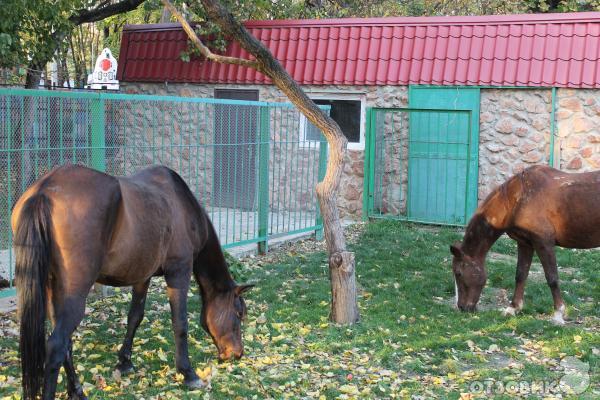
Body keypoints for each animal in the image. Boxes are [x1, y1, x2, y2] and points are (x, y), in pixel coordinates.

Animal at [13, 164, 253, 398]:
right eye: (239, 313)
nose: (237, 353)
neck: (182, 205)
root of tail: (44, 189)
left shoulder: (142, 276)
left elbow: (135, 317)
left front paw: (125, 362)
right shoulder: (179, 271)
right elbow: (180, 323)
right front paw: (188, 373)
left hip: (52, 288)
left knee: (65, 344)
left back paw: (77, 390)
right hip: (74, 293)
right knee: (56, 345)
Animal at [448, 166, 596, 324]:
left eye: (458, 273)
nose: (462, 307)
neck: (519, 199)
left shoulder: (544, 243)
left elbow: (552, 278)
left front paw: (558, 313)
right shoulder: (525, 243)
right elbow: (520, 274)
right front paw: (513, 308)